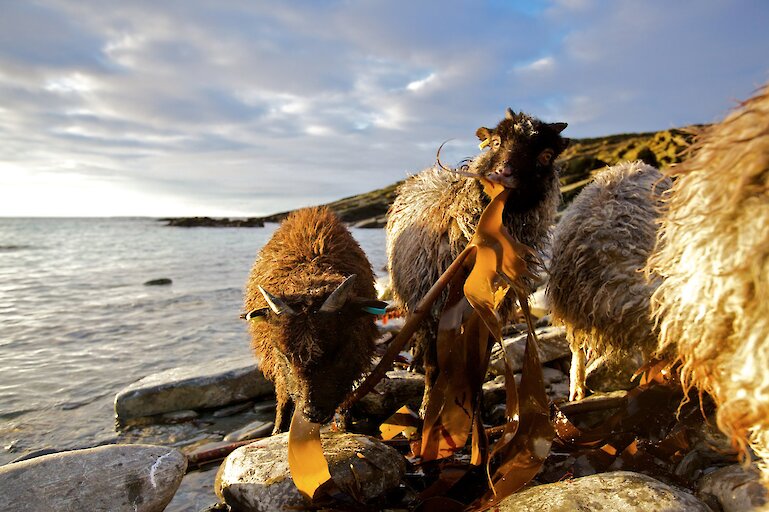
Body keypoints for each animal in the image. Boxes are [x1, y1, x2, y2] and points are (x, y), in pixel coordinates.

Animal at [242, 207, 383, 433]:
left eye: (338, 352)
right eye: (285, 356)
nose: (312, 413)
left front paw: (345, 424)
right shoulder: (277, 366)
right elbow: (283, 399)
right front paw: (278, 430)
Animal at [386, 108, 569, 412]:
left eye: (545, 155)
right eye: (495, 142)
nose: (504, 173)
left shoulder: (493, 311)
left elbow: (481, 364)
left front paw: (476, 407)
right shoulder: (432, 304)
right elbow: (434, 365)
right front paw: (427, 406)